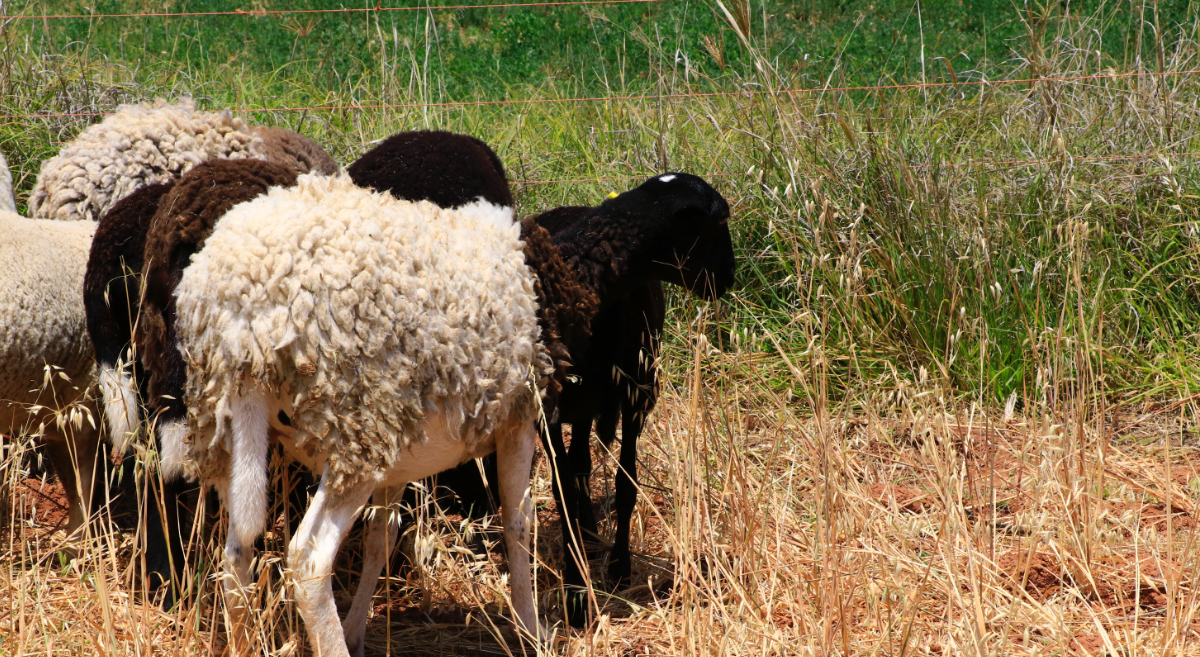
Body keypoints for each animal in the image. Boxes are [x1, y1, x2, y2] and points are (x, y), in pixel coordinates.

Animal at [169, 170, 729, 657]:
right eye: (714, 221)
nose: (727, 282)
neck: (565, 273)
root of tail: (239, 314)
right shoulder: (521, 419)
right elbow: (519, 522)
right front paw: (532, 629)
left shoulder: (401, 451)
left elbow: (382, 537)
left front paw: (358, 630)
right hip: (356, 429)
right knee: (309, 561)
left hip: (239, 422)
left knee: (238, 549)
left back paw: (247, 641)